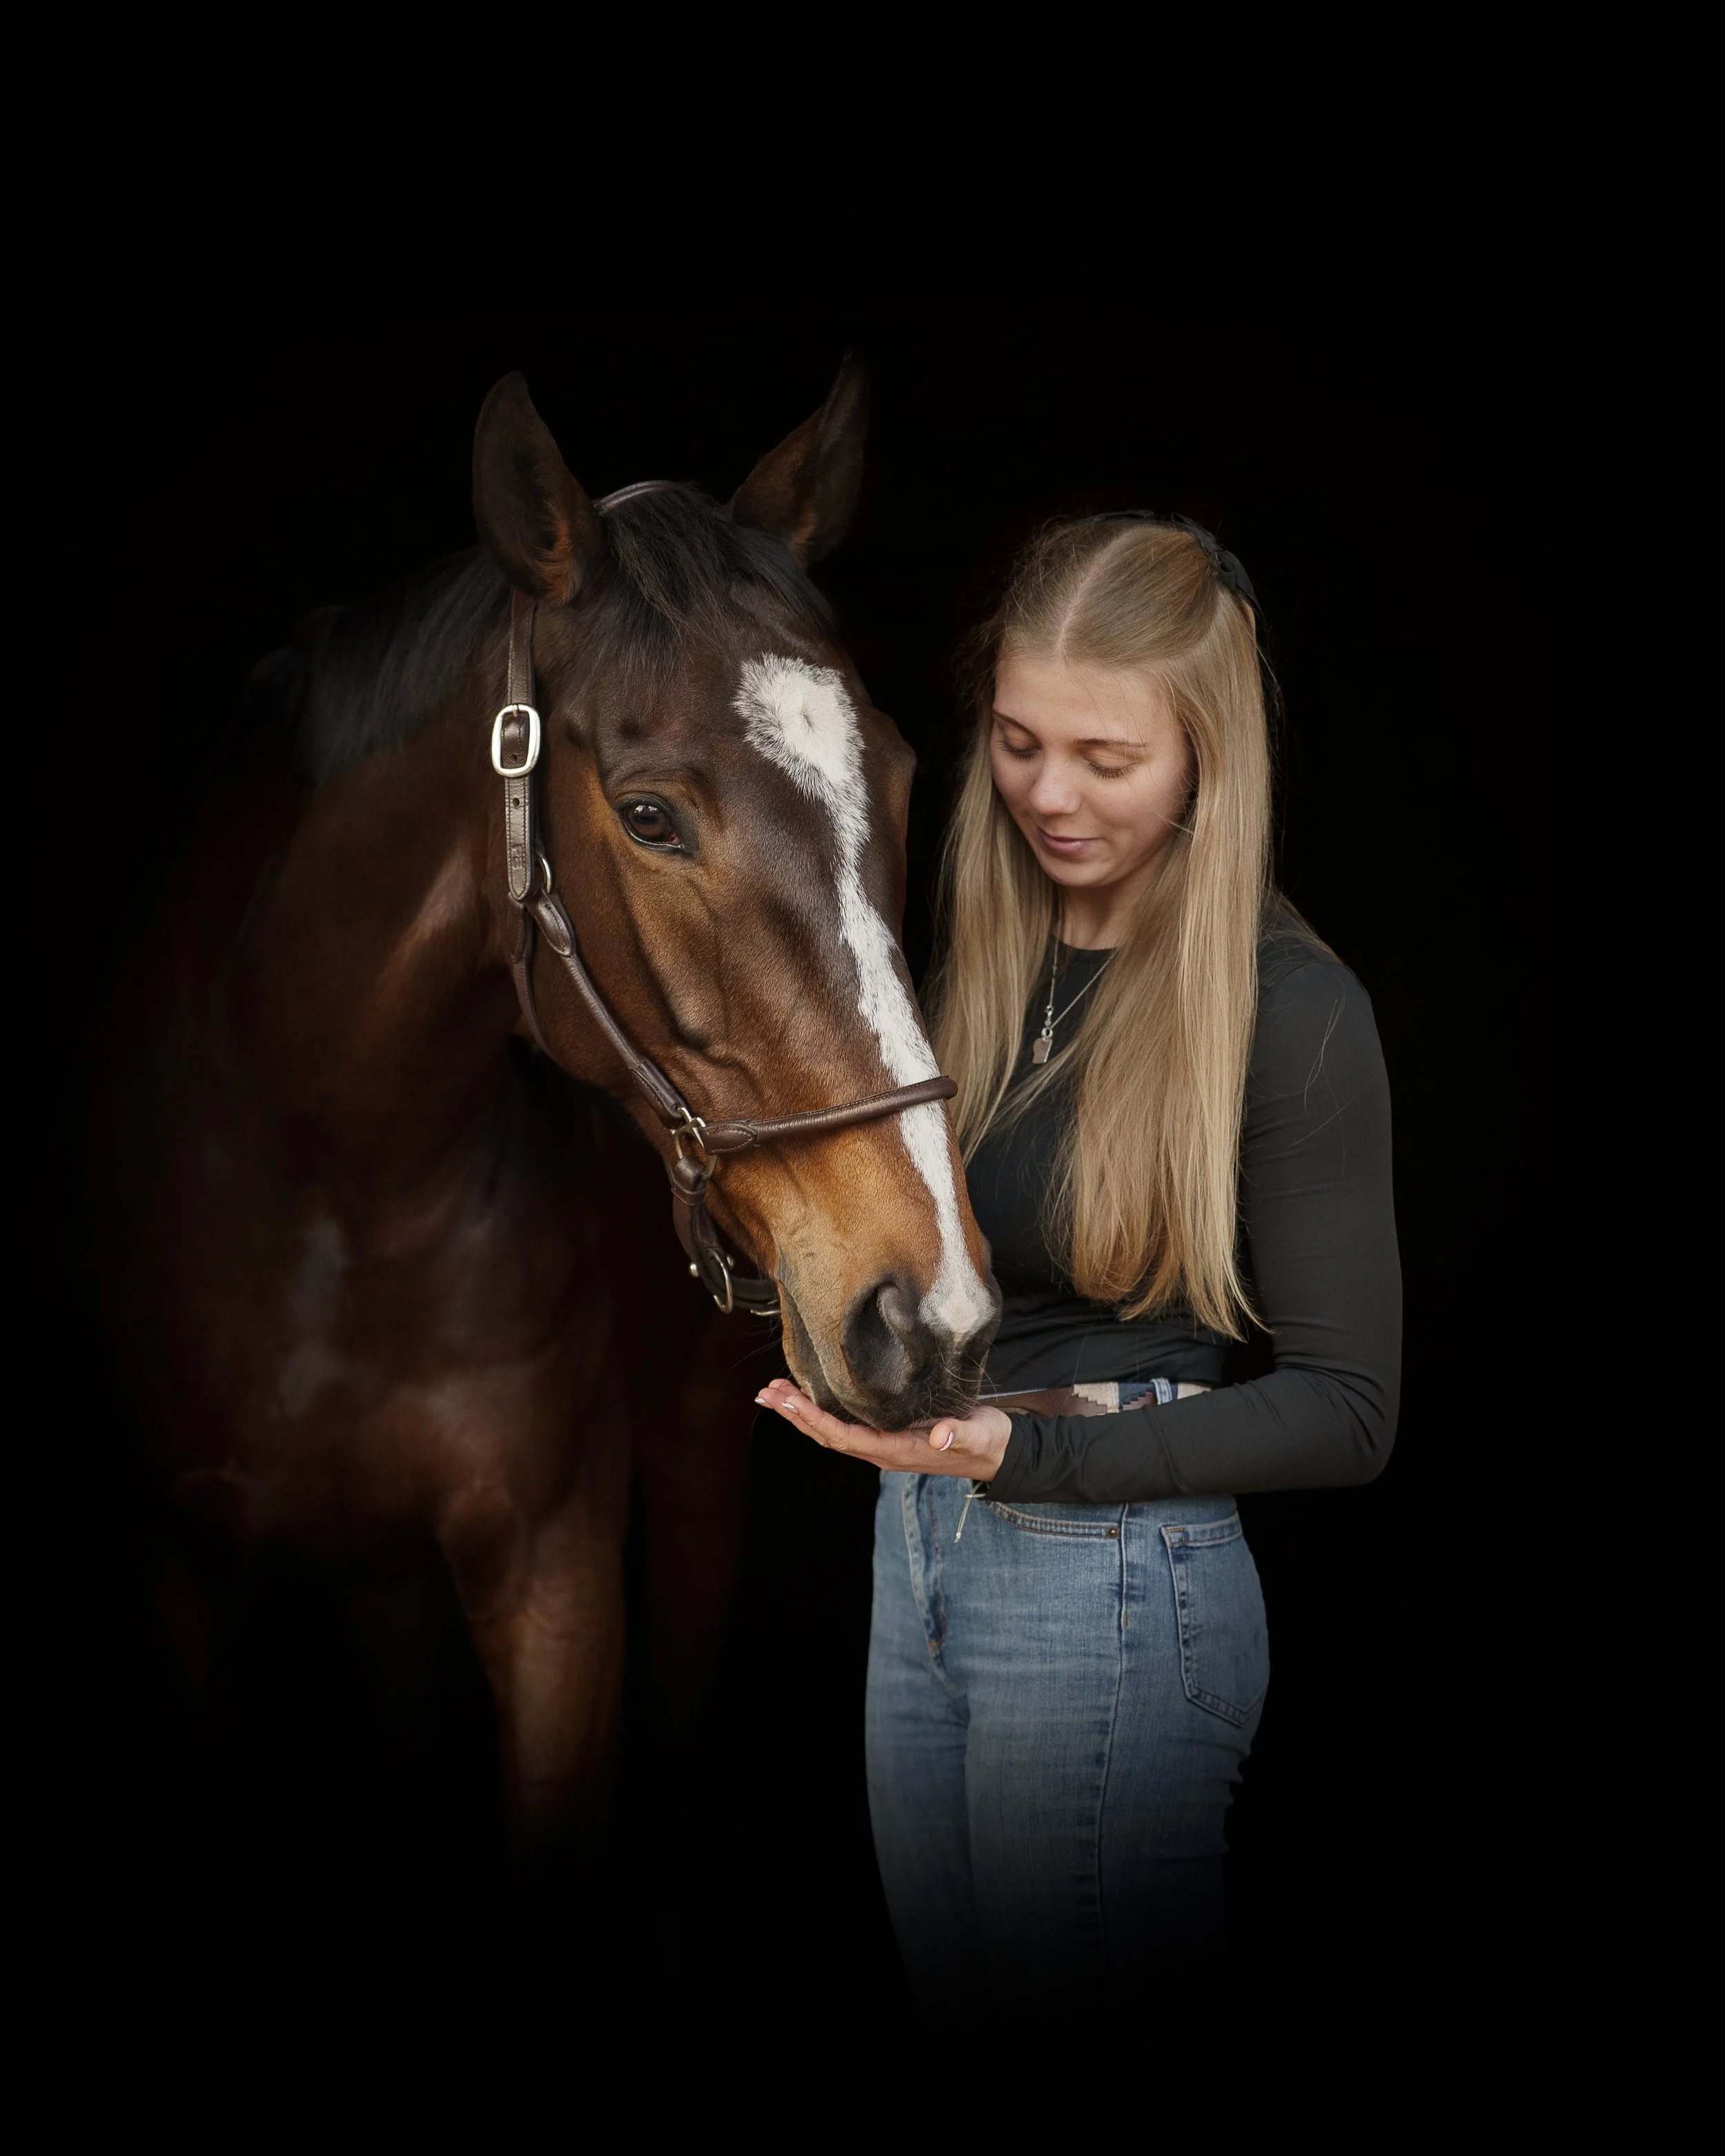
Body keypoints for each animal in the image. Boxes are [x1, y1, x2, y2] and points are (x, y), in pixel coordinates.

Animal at [100, 360, 1000, 1951]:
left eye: (895, 781)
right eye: (648, 816)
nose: (934, 1313)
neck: (330, 1173)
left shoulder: (558, 1577)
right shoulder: (173, 1573)